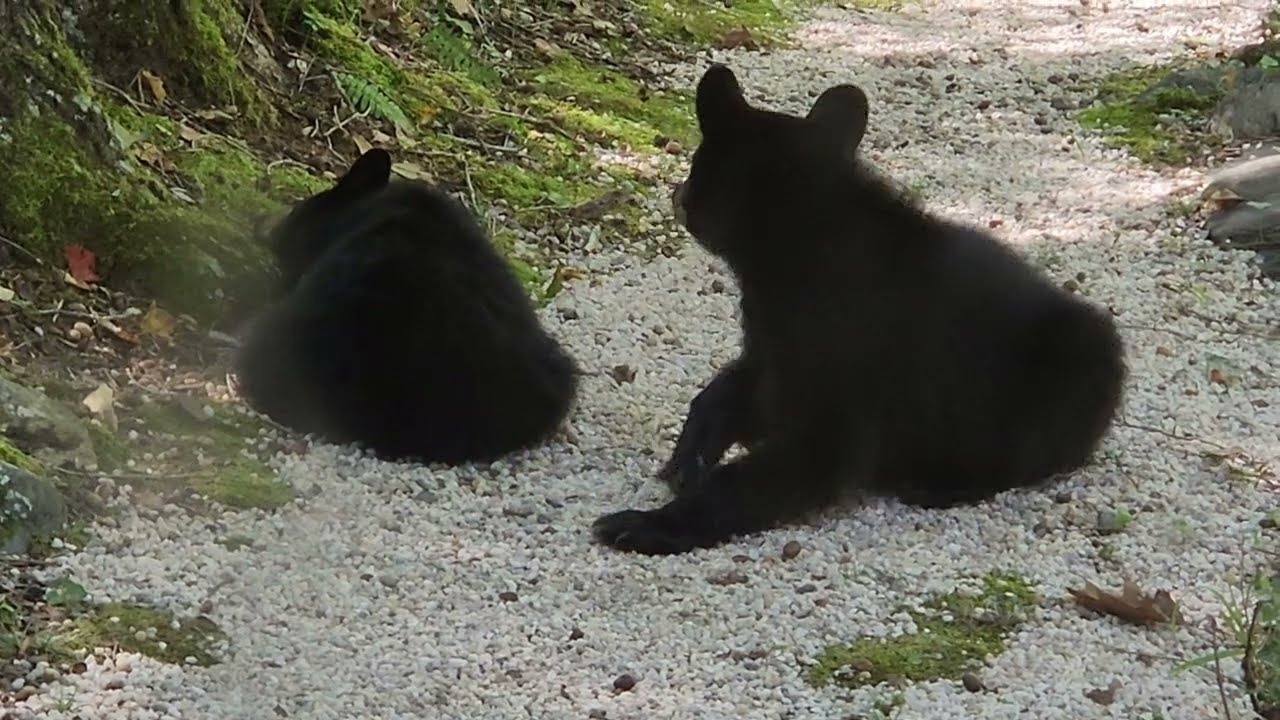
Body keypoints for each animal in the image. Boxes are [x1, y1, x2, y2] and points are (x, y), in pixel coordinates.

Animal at [591, 64, 1127, 556]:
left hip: (1072, 358)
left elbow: (809, 452)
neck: (798, 245)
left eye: (697, 164)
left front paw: (647, 524)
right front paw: (692, 450)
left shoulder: (848, 352)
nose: (677, 195)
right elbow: (749, 387)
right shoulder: (777, 335)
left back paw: (944, 483)